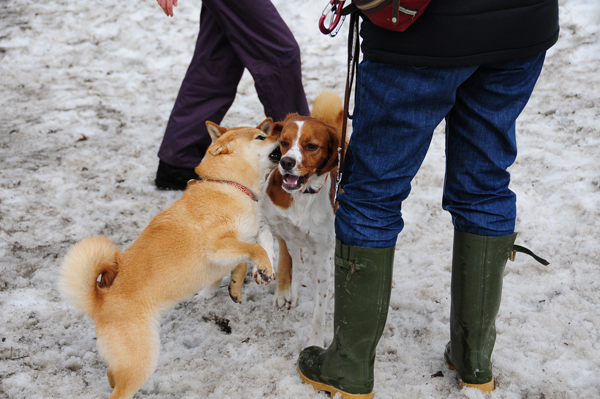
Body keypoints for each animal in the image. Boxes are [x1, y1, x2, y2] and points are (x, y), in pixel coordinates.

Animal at [58, 118, 282, 399]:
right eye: (261, 137)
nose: (282, 136)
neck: (227, 184)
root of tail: (99, 301)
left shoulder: (235, 243)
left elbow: (250, 248)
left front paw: (236, 286)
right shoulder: (218, 247)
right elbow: (254, 248)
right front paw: (263, 267)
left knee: (112, 373)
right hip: (142, 358)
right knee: (119, 389)